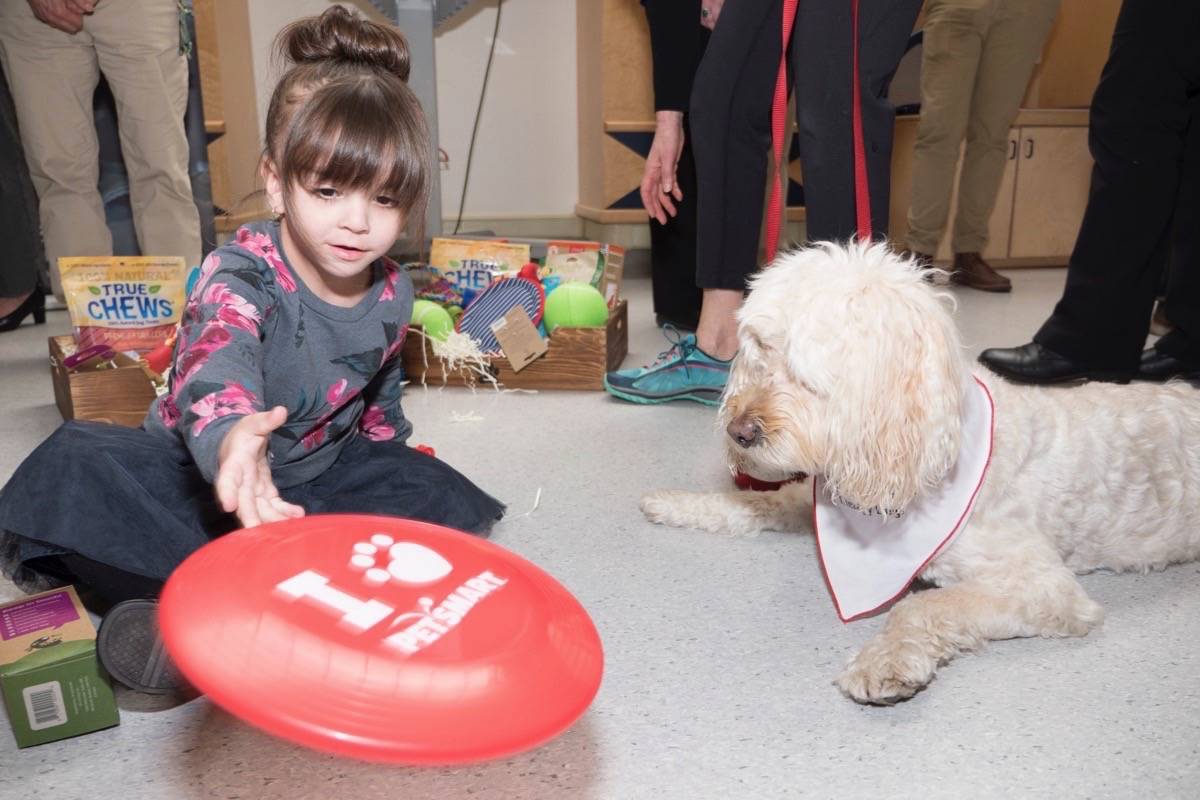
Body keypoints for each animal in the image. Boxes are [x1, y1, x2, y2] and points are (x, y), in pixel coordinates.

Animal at [643, 244, 1200, 705]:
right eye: (759, 350)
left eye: (804, 373)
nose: (738, 431)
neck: (932, 449)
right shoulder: (824, 491)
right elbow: (759, 501)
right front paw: (678, 502)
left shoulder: (1042, 587)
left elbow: (918, 608)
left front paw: (885, 663)